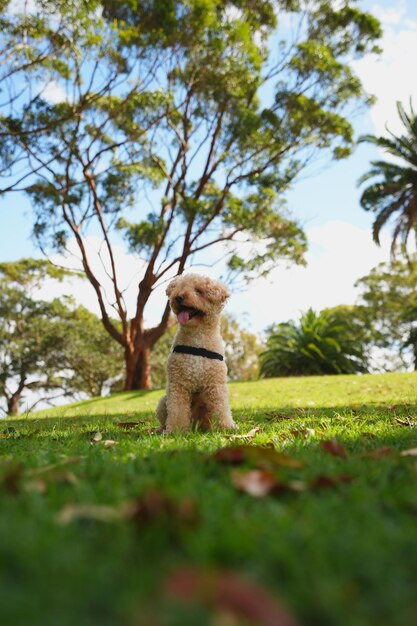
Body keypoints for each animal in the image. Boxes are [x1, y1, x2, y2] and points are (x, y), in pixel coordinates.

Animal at [155, 272, 236, 434]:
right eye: (179, 288)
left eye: (199, 291)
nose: (178, 297)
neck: (197, 340)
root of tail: (195, 427)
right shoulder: (178, 384)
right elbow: (177, 410)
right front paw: (176, 431)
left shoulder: (216, 384)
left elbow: (222, 408)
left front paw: (227, 427)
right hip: (162, 401)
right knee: (163, 419)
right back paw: (162, 430)